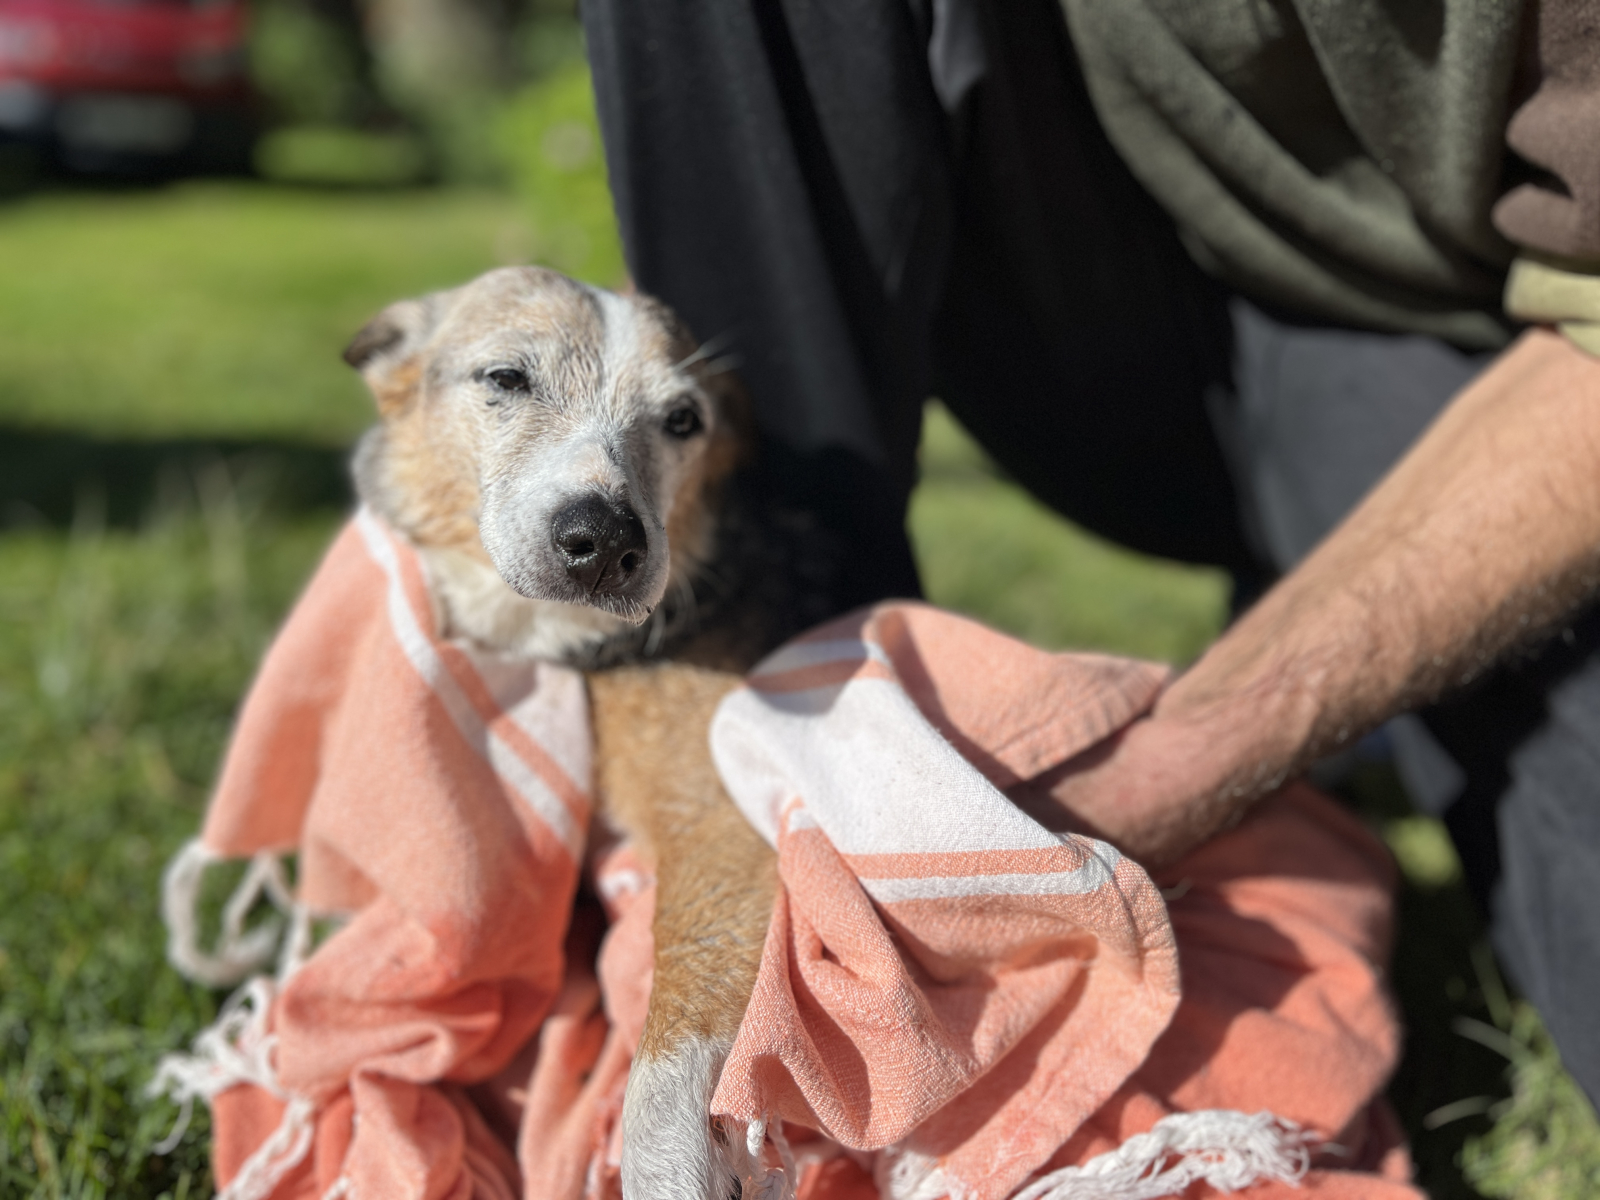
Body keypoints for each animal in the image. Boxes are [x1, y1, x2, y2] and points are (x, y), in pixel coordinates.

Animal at [344, 265, 822, 1200]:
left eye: (683, 421)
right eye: (505, 378)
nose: (604, 541)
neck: (567, 647)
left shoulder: (720, 817)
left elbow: (669, 1046)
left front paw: (671, 1171)